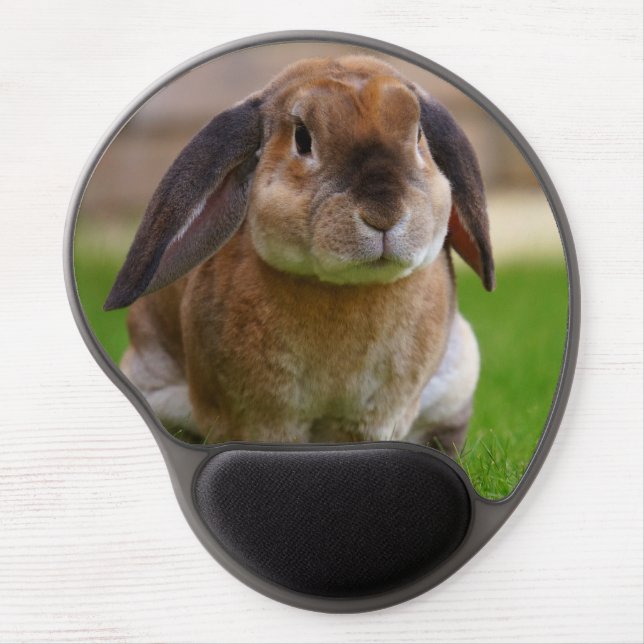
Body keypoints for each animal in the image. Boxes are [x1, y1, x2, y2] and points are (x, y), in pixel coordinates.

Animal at [104, 55, 494, 454]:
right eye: (302, 139)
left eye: (418, 136)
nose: (384, 214)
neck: (344, 290)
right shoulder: (262, 416)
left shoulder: (376, 416)